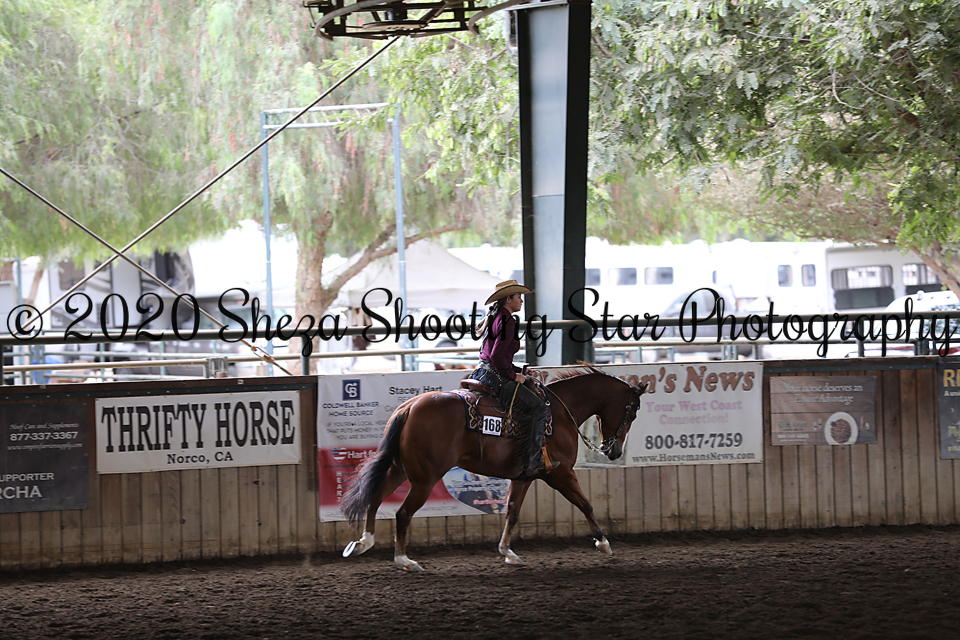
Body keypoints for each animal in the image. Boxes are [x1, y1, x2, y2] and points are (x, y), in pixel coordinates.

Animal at [339, 364, 648, 571]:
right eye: (632, 412)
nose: (614, 451)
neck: (559, 413)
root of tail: (411, 406)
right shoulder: (560, 474)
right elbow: (585, 503)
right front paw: (603, 543)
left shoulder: (524, 477)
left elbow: (512, 512)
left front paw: (507, 552)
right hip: (424, 479)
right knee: (402, 513)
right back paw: (404, 560)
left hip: (401, 469)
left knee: (375, 498)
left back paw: (364, 542)